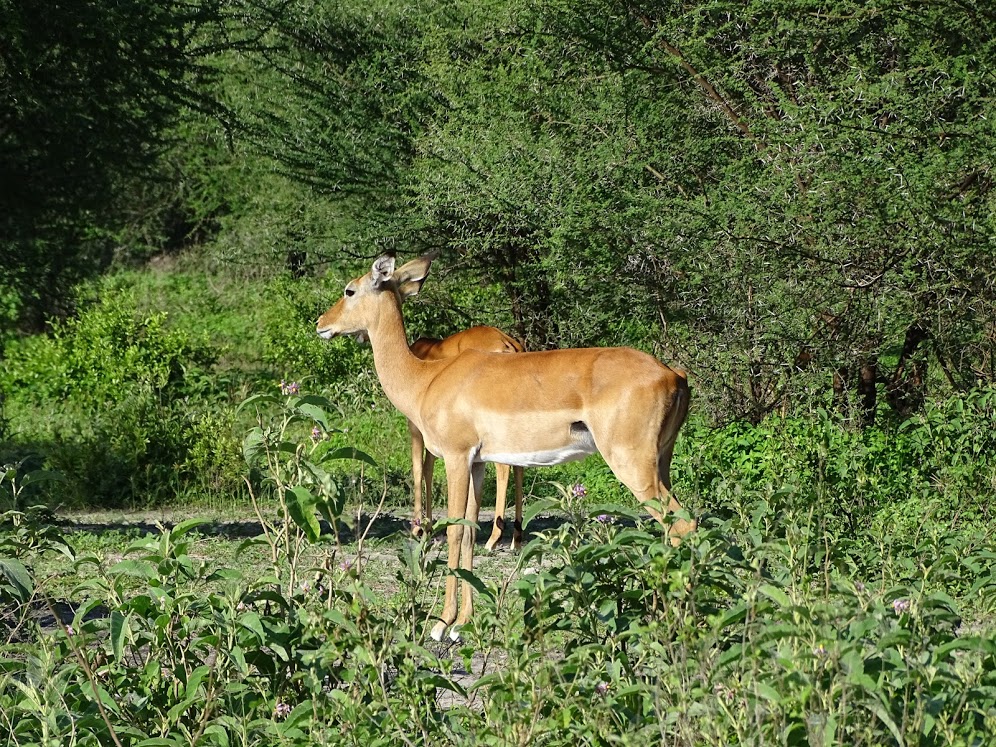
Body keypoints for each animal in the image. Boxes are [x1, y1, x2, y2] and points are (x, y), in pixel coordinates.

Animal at [409, 327, 526, 551]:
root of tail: (507, 343)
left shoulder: (416, 428)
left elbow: (418, 469)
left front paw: (418, 528)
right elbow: (428, 469)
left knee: (504, 467)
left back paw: (493, 538)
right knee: (518, 466)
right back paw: (516, 538)